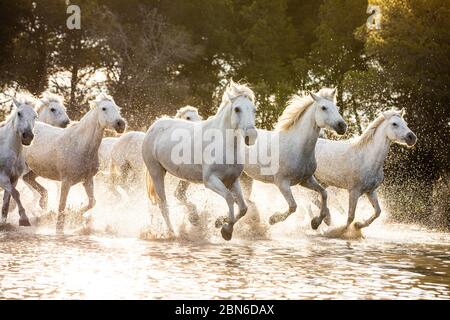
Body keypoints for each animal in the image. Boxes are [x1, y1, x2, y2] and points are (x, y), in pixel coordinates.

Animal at [0, 97, 37, 225]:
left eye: (35, 116)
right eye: (19, 113)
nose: (28, 136)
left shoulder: (14, 179)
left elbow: (7, 201)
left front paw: (4, 222)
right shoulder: (2, 178)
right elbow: (16, 193)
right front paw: (24, 219)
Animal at [23, 93, 125, 232]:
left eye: (118, 108)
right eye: (104, 108)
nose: (121, 124)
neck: (80, 145)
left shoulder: (87, 180)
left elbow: (92, 202)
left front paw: (77, 214)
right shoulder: (66, 181)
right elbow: (61, 207)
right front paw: (60, 229)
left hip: (35, 170)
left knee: (28, 179)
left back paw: (42, 205)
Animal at [143, 80, 256, 240]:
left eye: (254, 110)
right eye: (237, 109)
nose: (251, 136)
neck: (224, 144)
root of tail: (153, 126)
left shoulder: (233, 180)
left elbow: (243, 208)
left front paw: (220, 223)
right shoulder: (210, 180)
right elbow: (229, 198)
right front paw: (226, 231)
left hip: (182, 176)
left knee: (177, 195)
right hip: (156, 172)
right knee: (163, 205)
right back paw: (172, 232)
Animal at [239, 88, 348, 230]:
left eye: (337, 108)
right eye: (323, 107)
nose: (342, 126)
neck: (298, 149)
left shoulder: (306, 180)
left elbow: (324, 194)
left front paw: (317, 222)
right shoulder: (282, 183)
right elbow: (293, 206)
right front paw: (273, 219)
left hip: (245, 176)